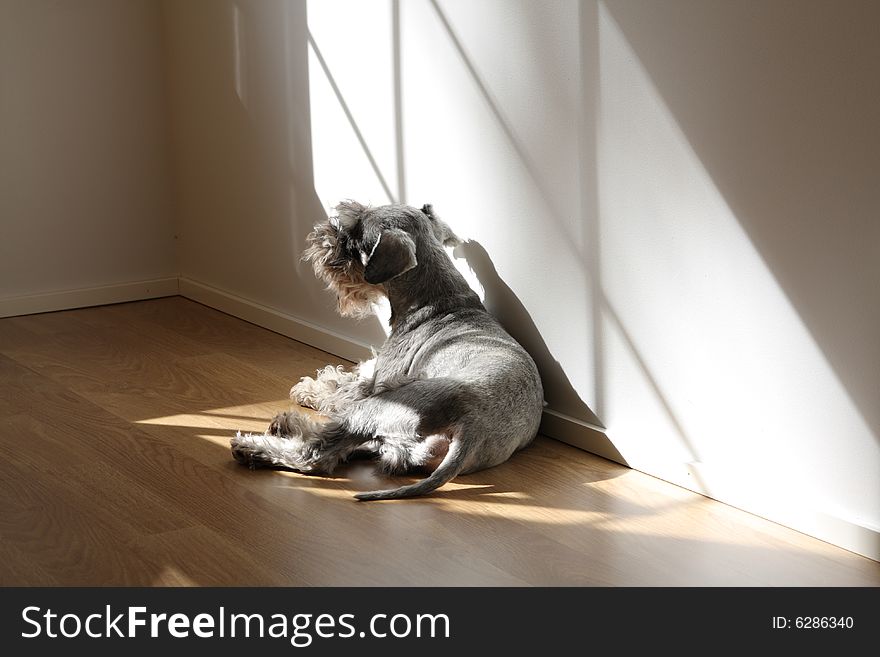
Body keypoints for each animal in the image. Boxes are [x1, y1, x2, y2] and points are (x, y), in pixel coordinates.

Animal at [229, 200, 544, 498]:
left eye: (354, 233)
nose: (322, 237)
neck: (436, 299)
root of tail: (472, 429)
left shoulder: (374, 387)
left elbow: (340, 391)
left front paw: (308, 389)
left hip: (381, 407)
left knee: (319, 455)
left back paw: (253, 446)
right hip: (400, 443)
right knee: (354, 446)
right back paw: (285, 426)